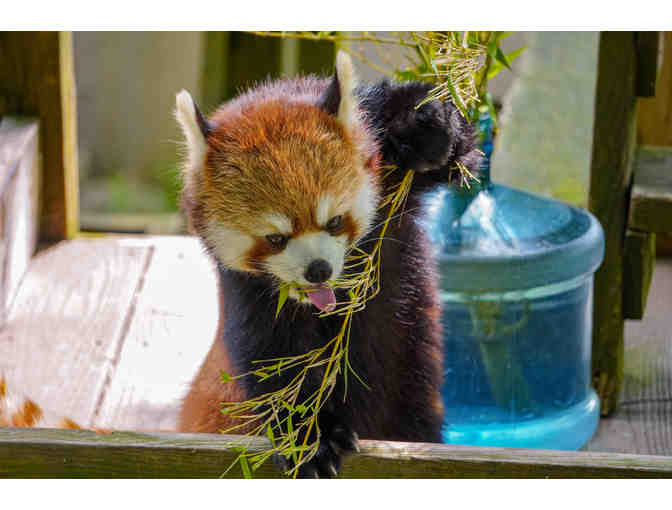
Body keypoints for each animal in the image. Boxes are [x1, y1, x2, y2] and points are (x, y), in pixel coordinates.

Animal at [176, 51, 484, 478]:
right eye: (275, 238)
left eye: (335, 221)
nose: (318, 269)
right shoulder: (250, 300)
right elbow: (274, 367)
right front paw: (311, 440)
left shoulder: (396, 194)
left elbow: (453, 151)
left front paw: (428, 122)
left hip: (411, 374)